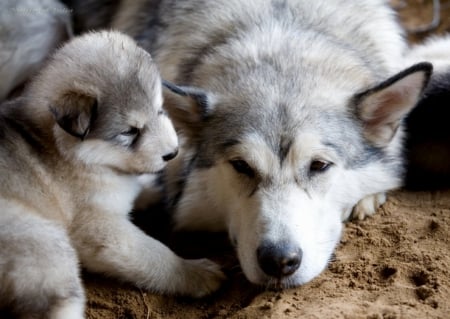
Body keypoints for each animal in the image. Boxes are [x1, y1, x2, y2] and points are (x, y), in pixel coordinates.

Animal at [0, 31, 225, 318]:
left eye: (160, 109)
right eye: (130, 131)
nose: (173, 153)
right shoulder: (103, 229)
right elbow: (155, 254)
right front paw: (193, 271)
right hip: (44, 245)